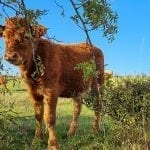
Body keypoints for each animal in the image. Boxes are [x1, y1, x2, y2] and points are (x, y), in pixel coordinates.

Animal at [0, 17, 103, 149]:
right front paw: (37, 140)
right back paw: (71, 133)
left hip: (98, 84)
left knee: (97, 105)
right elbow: (38, 116)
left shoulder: (51, 91)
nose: (10, 55)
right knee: (77, 109)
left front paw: (53, 144)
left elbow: (49, 118)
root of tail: (91, 46)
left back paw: (95, 131)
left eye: (27, 36)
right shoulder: (33, 92)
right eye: (4, 36)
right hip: (76, 90)